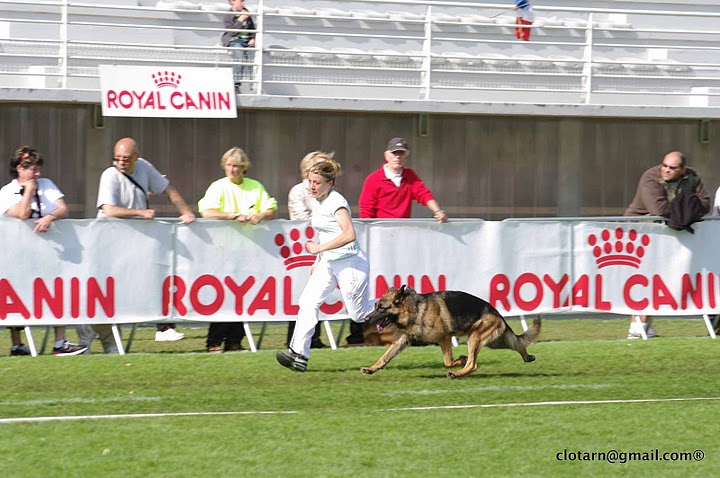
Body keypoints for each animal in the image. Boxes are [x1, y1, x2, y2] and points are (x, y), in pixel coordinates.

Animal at [360, 286, 540, 380]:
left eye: (381, 308)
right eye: (375, 306)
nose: (366, 319)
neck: (414, 310)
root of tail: (498, 314)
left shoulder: (444, 337)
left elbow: (448, 361)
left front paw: (460, 360)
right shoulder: (401, 341)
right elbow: (384, 357)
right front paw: (371, 368)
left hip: (475, 338)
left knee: (473, 364)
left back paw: (457, 372)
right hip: (496, 341)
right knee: (517, 343)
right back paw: (527, 357)